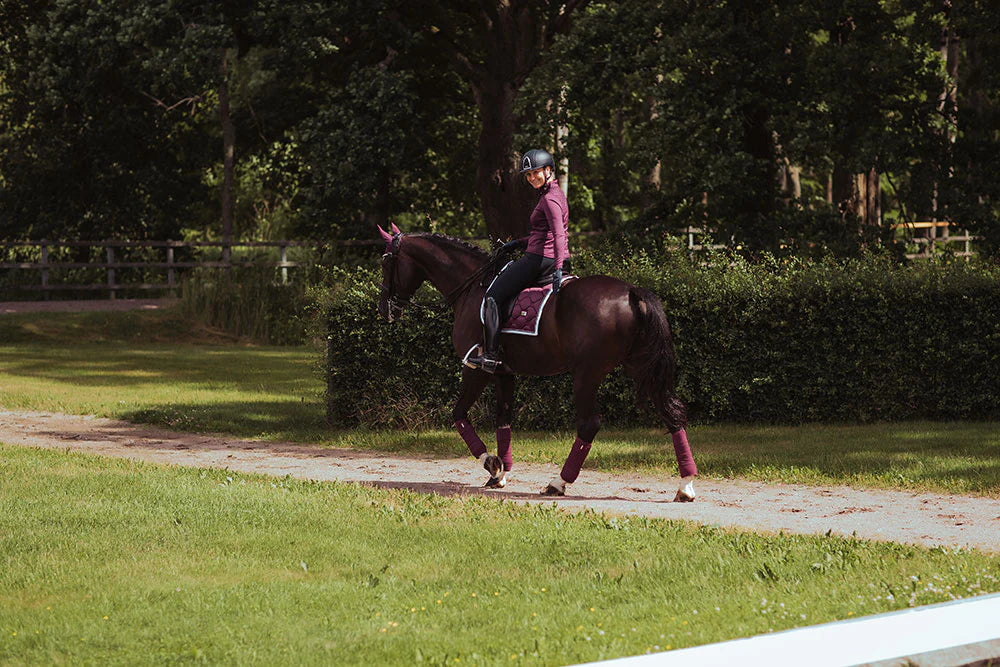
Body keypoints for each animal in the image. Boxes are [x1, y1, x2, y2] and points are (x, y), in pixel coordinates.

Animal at [376, 226, 696, 500]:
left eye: (385, 261)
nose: (384, 310)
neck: (472, 287)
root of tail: (631, 292)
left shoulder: (476, 368)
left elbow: (459, 414)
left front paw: (490, 463)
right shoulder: (503, 373)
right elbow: (503, 420)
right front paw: (501, 474)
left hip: (587, 374)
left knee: (589, 424)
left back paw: (559, 482)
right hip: (642, 368)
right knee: (671, 413)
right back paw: (686, 485)